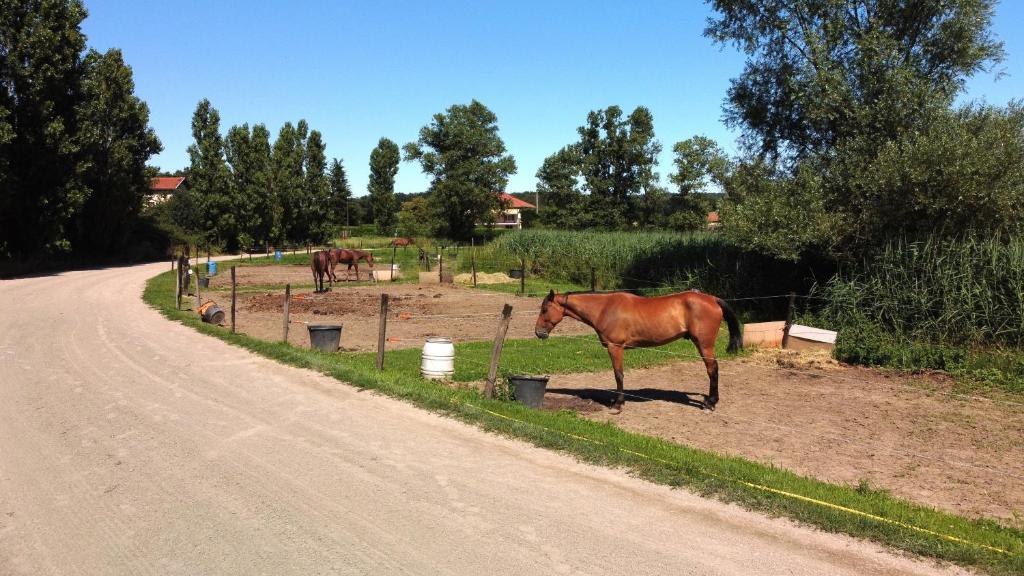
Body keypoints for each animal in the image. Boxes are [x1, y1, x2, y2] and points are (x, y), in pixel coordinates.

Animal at [532, 289, 741, 409]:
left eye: (544, 309)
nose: (538, 332)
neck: (604, 308)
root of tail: (713, 299)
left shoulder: (615, 348)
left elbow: (618, 374)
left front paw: (618, 404)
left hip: (704, 345)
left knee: (712, 370)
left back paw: (710, 403)